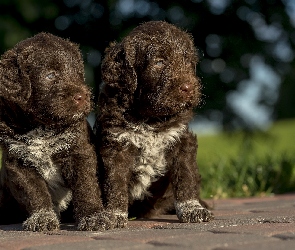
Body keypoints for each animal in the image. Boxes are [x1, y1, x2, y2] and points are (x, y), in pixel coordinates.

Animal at [0, 33, 114, 232]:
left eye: (77, 73)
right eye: (50, 75)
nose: (83, 96)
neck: (41, 128)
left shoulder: (80, 152)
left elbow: (86, 187)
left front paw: (94, 216)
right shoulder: (18, 163)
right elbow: (34, 192)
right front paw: (43, 217)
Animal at [93, 21, 214, 229]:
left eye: (188, 62)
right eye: (159, 62)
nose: (189, 88)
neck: (149, 119)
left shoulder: (181, 140)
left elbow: (186, 177)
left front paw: (192, 209)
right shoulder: (116, 145)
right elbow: (115, 182)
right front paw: (114, 214)